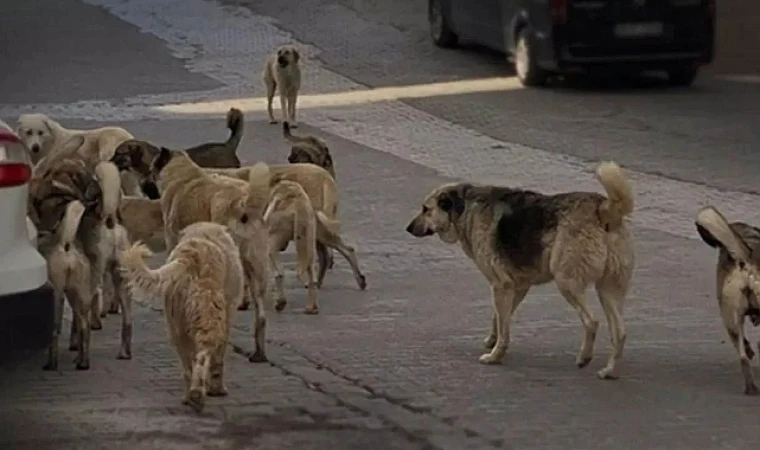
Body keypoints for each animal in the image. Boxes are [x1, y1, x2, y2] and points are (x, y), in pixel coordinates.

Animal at [121, 221, 246, 412]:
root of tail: (189, 257)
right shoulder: (227, 320)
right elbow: (218, 359)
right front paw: (217, 389)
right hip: (210, 318)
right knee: (202, 356)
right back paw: (197, 395)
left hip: (176, 326)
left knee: (188, 365)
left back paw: (190, 396)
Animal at [404, 162, 636, 380]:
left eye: (425, 209)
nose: (408, 228)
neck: (465, 208)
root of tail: (603, 208)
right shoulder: (518, 286)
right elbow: (499, 319)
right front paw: (493, 341)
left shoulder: (500, 285)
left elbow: (503, 326)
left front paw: (495, 356)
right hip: (608, 291)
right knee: (620, 332)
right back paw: (609, 371)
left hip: (567, 282)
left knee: (591, 322)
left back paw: (584, 358)